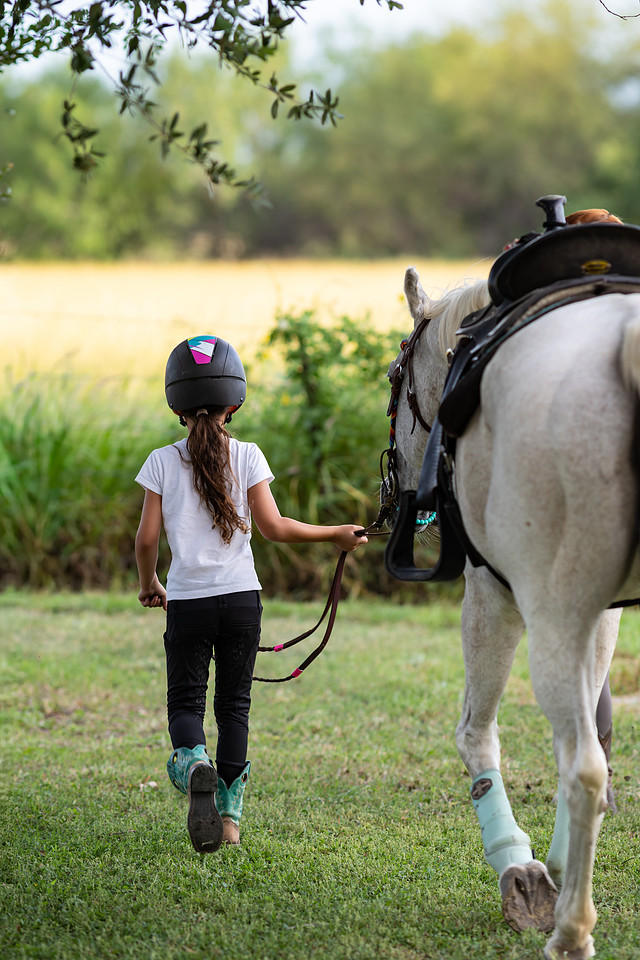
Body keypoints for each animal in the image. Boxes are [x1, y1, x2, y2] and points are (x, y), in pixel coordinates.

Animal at [383, 262, 640, 959]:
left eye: (392, 379)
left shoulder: (493, 595)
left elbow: (477, 734)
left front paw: (519, 865)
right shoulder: (600, 614)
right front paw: (558, 862)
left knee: (583, 768)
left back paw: (571, 933)